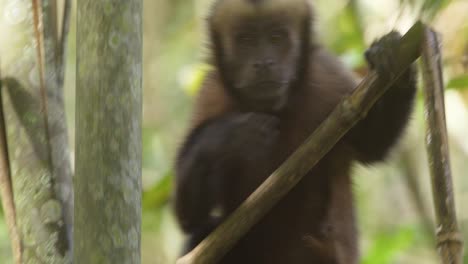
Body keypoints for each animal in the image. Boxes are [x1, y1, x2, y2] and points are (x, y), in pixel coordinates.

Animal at [174, 0, 414, 262]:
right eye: (246, 40)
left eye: (276, 37)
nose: (264, 63)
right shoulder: (211, 94)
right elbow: (188, 215)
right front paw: (232, 136)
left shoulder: (327, 76)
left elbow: (371, 144)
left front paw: (394, 59)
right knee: (200, 234)